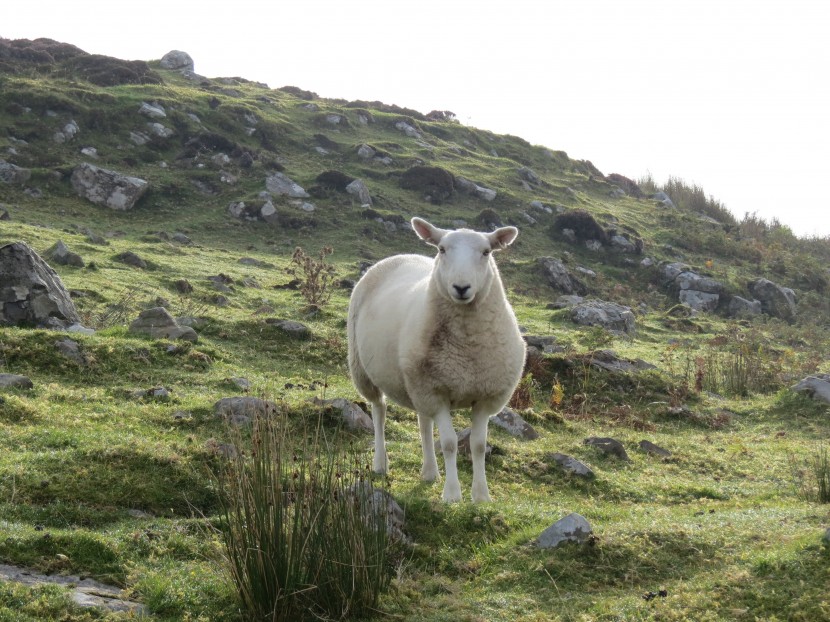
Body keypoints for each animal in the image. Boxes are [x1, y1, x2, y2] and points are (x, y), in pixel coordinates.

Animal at [348, 218, 524, 502]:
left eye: (486, 252)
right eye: (442, 249)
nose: (461, 288)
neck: (467, 348)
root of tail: (401, 255)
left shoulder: (484, 397)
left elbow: (478, 445)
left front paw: (481, 496)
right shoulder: (437, 393)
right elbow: (450, 444)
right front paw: (452, 494)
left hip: (417, 381)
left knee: (423, 424)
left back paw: (430, 472)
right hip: (365, 371)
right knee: (379, 412)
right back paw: (380, 463)